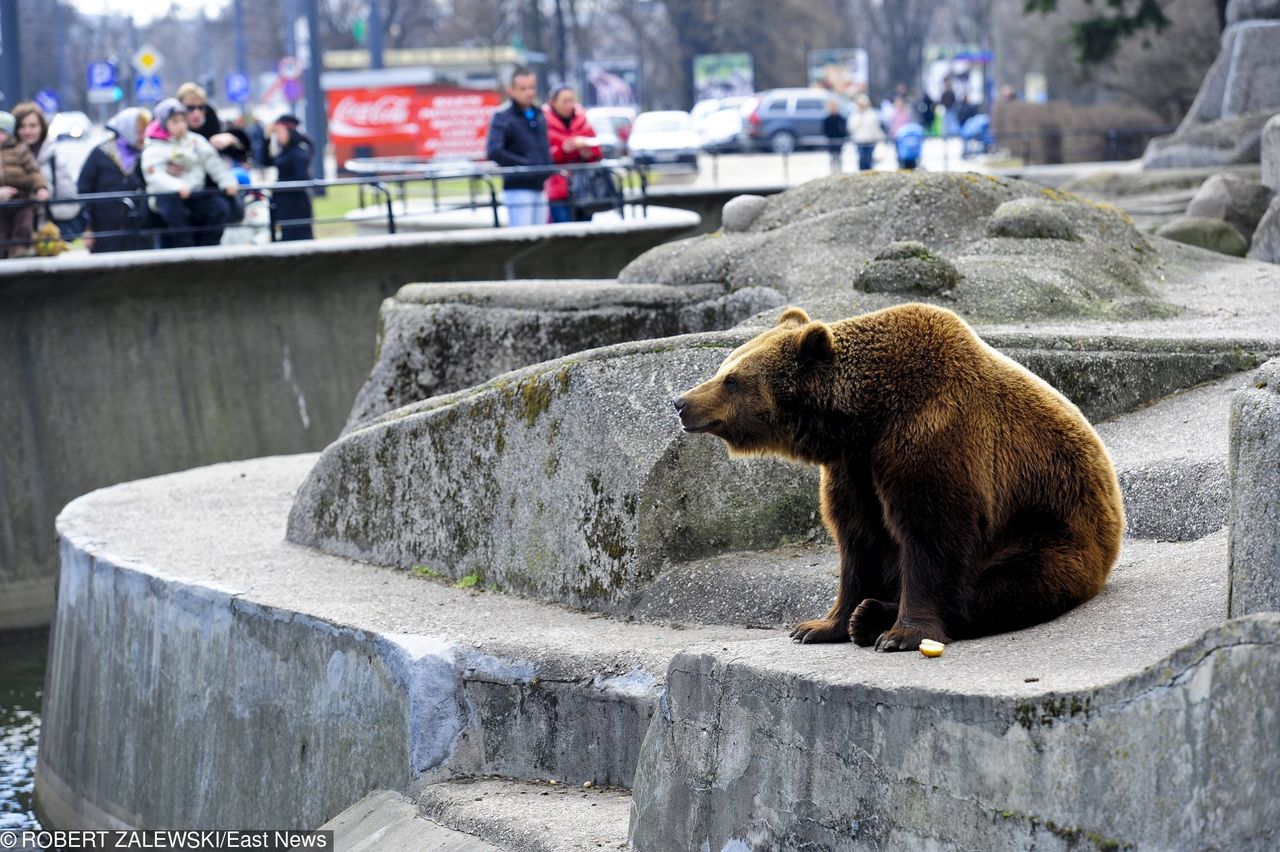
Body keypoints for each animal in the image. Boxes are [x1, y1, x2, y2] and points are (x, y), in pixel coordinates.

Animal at [675, 301, 1126, 647]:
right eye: (723, 366)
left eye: (731, 379)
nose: (680, 402)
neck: (869, 417)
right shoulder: (854, 467)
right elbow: (858, 541)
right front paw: (819, 625)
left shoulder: (931, 437)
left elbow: (931, 535)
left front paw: (901, 634)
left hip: (1049, 531)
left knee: (1005, 586)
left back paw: (875, 617)